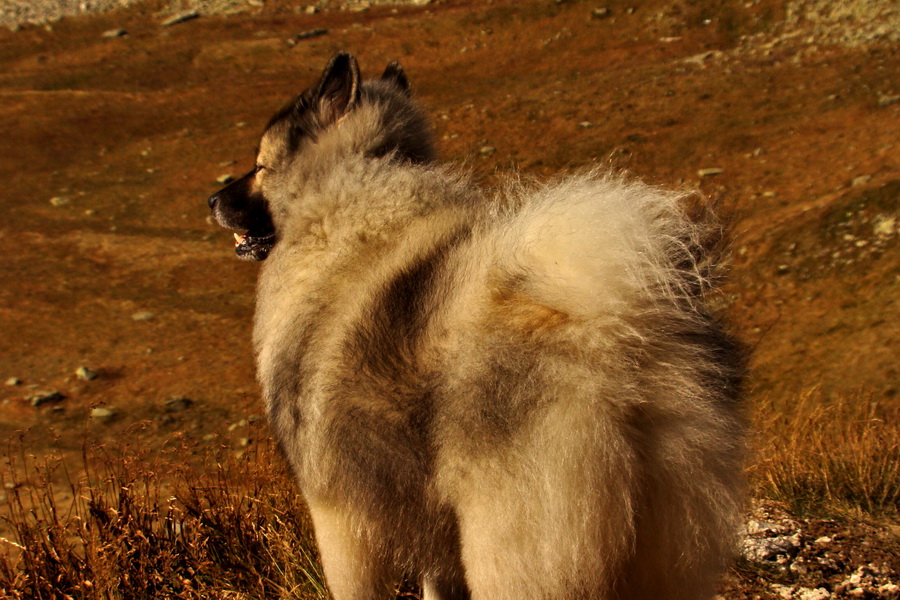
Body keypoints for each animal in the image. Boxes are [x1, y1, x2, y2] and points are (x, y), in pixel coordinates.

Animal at [209, 52, 744, 600]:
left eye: (260, 166)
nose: (213, 200)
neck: (336, 207)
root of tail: (614, 340)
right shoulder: (433, 534)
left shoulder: (339, 518)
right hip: (660, 546)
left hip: (509, 549)